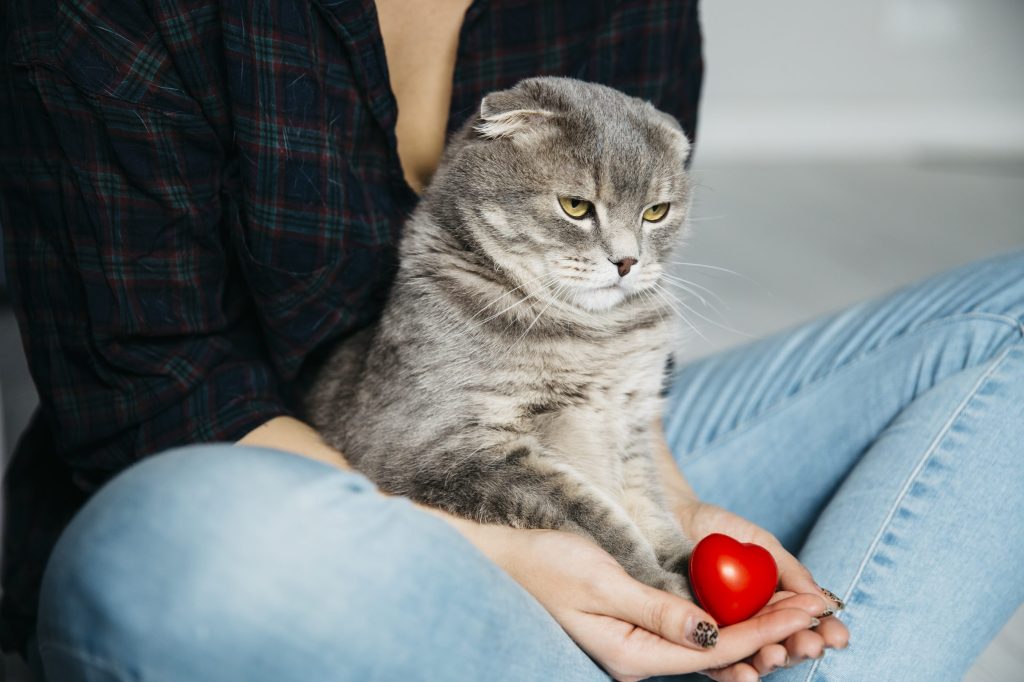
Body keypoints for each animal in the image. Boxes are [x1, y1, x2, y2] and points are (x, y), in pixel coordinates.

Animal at [303, 75, 700, 593]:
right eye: (575, 207)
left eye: (656, 212)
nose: (627, 261)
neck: (595, 337)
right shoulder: (442, 448)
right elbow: (590, 512)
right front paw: (656, 581)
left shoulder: (630, 428)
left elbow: (650, 508)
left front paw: (682, 560)